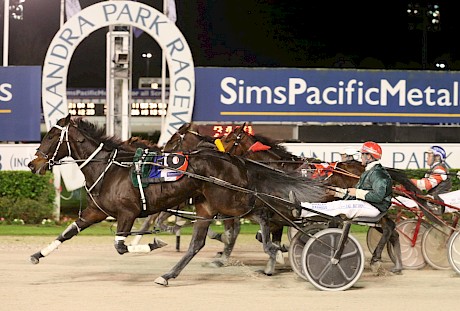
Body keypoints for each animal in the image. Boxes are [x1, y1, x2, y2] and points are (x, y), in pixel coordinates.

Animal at [28, 114, 330, 286]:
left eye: (52, 136)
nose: (33, 164)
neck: (111, 169)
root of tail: (235, 160)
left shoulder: (127, 214)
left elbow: (121, 247)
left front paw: (155, 242)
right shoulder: (96, 212)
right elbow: (67, 233)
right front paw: (36, 255)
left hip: (230, 200)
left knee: (263, 213)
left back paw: (273, 247)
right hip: (208, 206)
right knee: (198, 244)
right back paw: (168, 275)